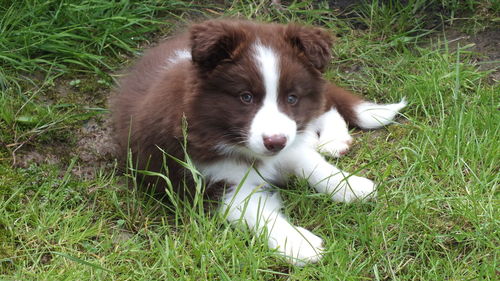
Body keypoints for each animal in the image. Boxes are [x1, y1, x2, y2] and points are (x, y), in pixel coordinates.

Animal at [110, 19, 406, 264]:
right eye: (246, 97)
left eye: (292, 98)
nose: (275, 142)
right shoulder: (211, 183)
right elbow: (260, 213)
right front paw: (301, 244)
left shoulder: (290, 140)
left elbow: (311, 163)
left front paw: (351, 186)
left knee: (326, 105)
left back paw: (335, 140)